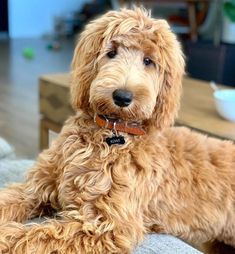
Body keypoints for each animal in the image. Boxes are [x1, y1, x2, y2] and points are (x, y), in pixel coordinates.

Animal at [0, 6, 235, 253]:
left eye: (149, 61)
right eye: (111, 52)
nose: (122, 96)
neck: (111, 132)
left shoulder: (105, 226)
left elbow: (36, 236)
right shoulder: (36, 188)